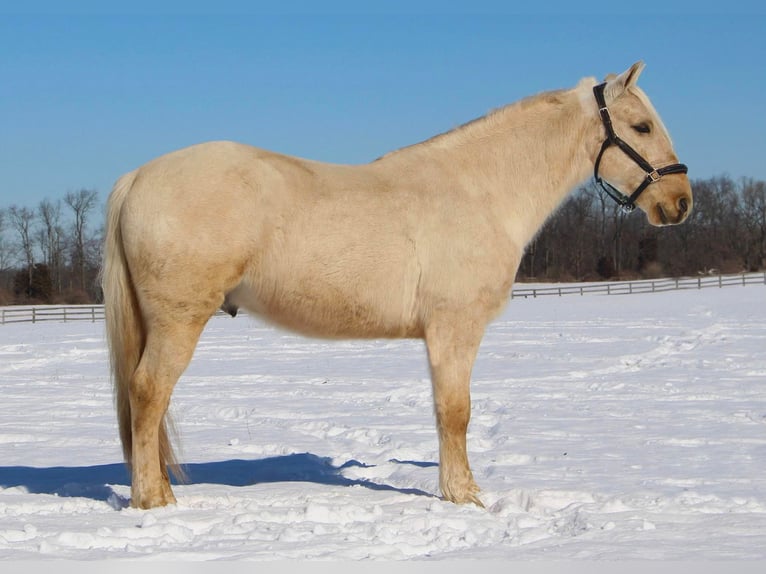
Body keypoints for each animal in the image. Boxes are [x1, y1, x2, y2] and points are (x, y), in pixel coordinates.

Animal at [103, 63, 696, 510]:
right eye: (642, 126)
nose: (682, 202)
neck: (480, 190)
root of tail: (137, 176)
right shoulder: (454, 329)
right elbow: (455, 412)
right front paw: (464, 496)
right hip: (179, 320)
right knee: (148, 392)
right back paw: (154, 500)